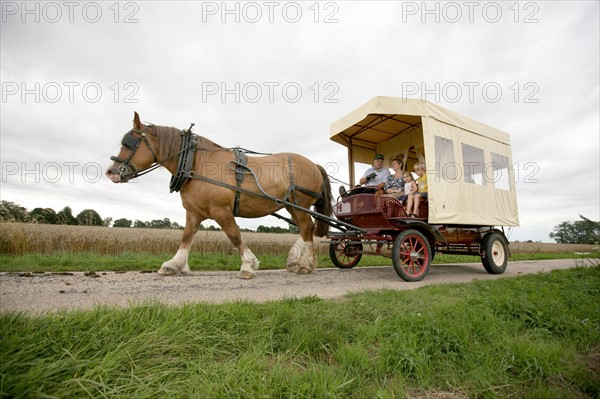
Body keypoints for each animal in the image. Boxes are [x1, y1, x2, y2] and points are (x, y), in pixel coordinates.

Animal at [107, 111, 332, 282]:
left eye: (130, 143)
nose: (111, 172)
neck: (195, 163)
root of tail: (314, 164)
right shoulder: (194, 212)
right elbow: (186, 236)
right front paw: (173, 264)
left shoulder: (221, 210)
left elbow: (234, 235)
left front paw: (248, 265)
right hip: (290, 205)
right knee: (305, 229)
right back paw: (296, 261)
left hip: (299, 204)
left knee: (307, 228)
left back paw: (306, 264)